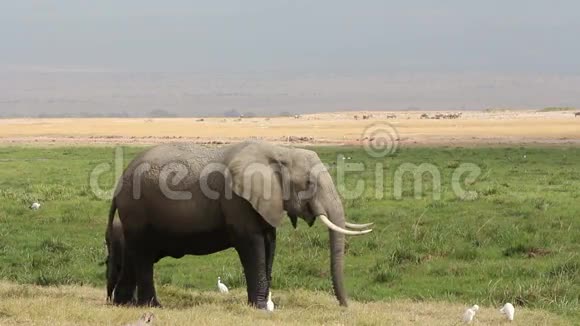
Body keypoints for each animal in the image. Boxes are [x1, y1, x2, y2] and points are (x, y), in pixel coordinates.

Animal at [106, 139, 374, 308]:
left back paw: (124, 304)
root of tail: (118, 185)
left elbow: (270, 243)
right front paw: (260, 307)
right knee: (142, 255)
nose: (345, 306)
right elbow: (252, 245)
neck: (280, 152)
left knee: (134, 255)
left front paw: (265, 305)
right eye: (309, 184)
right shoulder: (236, 200)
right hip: (137, 209)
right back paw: (153, 306)